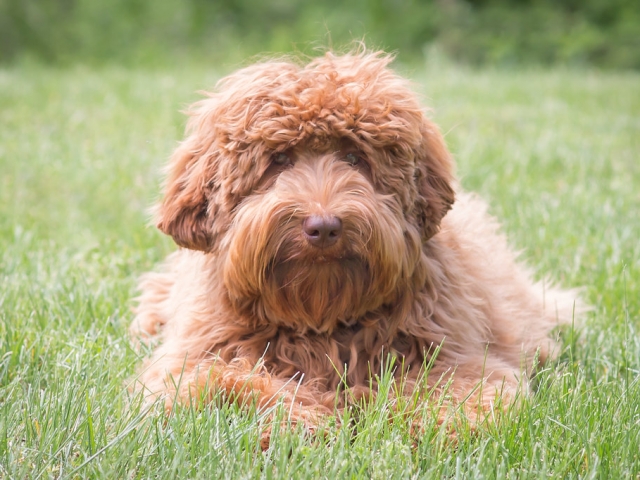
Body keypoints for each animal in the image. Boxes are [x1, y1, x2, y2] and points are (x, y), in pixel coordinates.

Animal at [131, 48, 580, 432]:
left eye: (354, 157)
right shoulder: (189, 363)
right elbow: (226, 385)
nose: (324, 227)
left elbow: (461, 394)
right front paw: (301, 421)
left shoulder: (461, 357)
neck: (321, 316)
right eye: (279, 160)